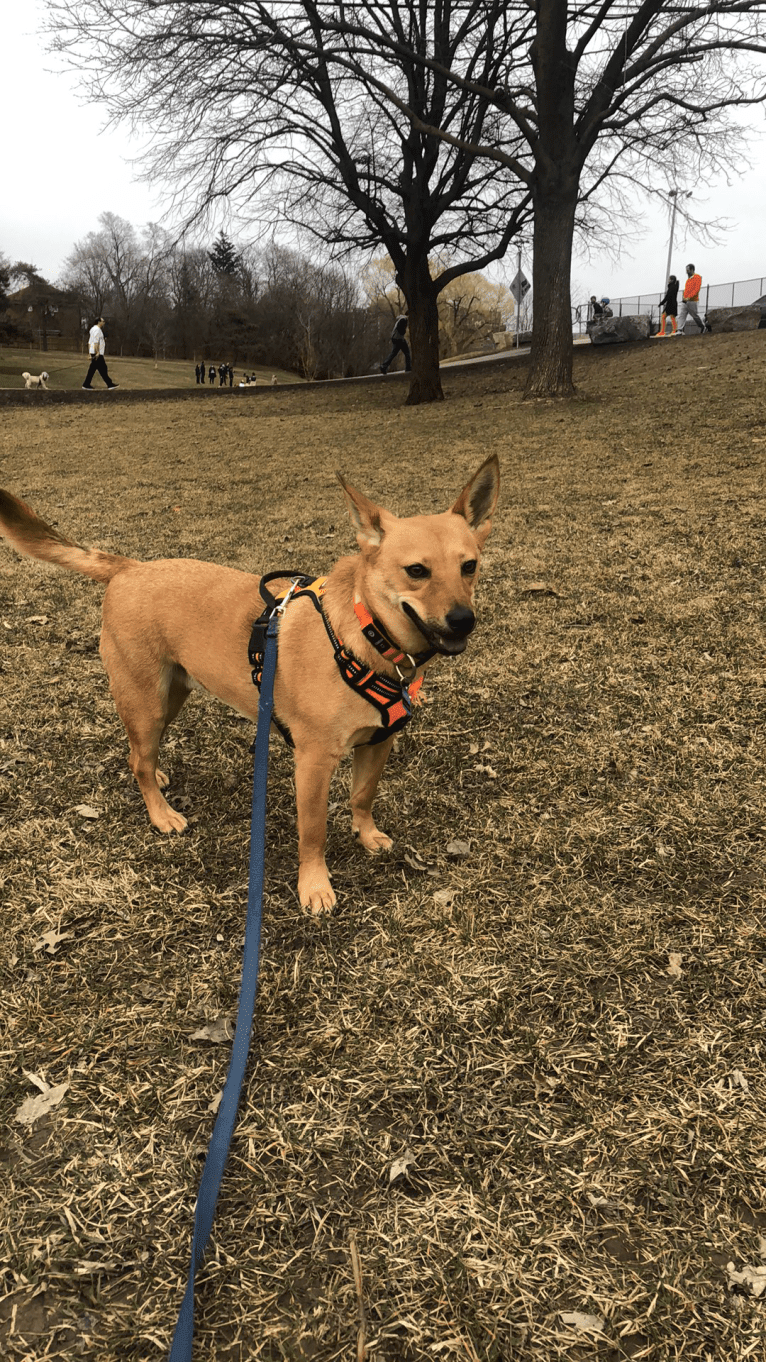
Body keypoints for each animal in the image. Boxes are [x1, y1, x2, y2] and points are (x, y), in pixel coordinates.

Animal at [0, 457, 496, 915]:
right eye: (416, 571)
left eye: (469, 566)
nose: (463, 620)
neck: (365, 634)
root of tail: (129, 568)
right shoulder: (313, 761)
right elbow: (313, 832)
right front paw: (314, 886)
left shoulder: (378, 742)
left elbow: (362, 795)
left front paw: (367, 834)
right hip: (145, 698)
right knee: (139, 758)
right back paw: (161, 813)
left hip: (170, 695)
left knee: (139, 754)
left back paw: (156, 776)